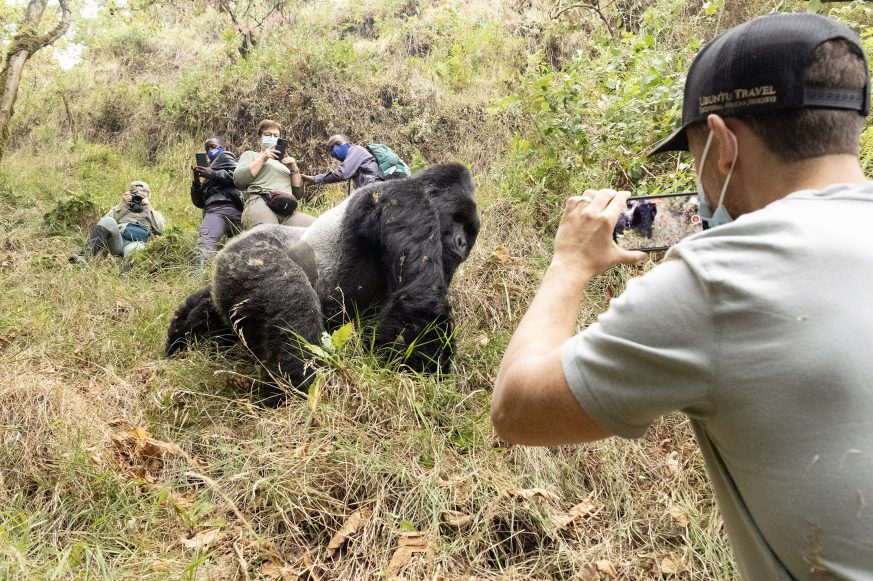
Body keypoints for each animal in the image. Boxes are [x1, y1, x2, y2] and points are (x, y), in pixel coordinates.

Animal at [164, 163, 476, 390]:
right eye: (457, 219)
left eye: (470, 230)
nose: (462, 243)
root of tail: (225, 251)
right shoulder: (406, 202)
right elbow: (419, 298)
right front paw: (417, 376)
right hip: (247, 255)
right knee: (292, 303)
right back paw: (300, 387)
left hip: (227, 281)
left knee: (209, 305)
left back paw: (180, 340)